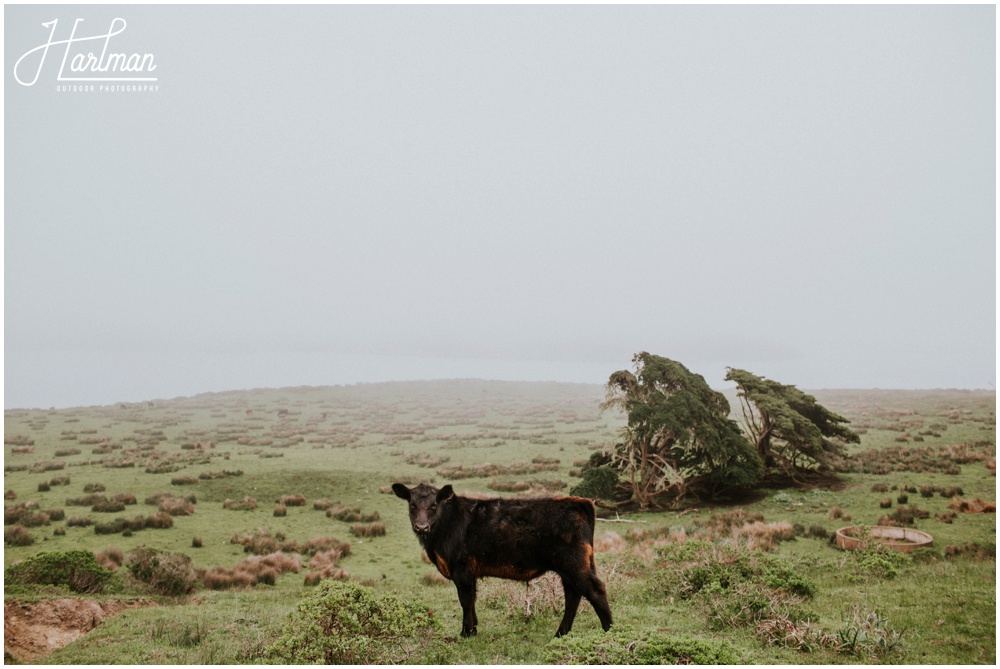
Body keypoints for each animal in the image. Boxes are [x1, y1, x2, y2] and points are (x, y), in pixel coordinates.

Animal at [388, 480, 608, 636]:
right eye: (412, 505)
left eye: (434, 505)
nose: (421, 527)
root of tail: (578, 501)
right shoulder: (470, 572)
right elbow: (472, 600)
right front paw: (473, 629)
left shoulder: (462, 568)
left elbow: (465, 600)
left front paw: (465, 632)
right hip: (569, 568)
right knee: (573, 595)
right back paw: (561, 633)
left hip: (574, 563)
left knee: (595, 590)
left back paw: (609, 630)